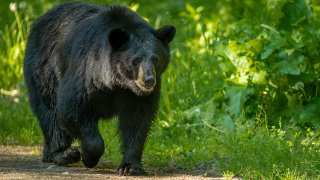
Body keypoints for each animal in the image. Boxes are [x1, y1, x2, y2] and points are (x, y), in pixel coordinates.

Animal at [23, 2, 175, 175]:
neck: (117, 83)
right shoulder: (86, 71)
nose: (149, 80)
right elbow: (73, 106)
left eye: (156, 59)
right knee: (50, 113)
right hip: (44, 70)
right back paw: (63, 154)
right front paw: (89, 157)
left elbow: (137, 120)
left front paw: (130, 166)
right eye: (136, 60)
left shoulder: (136, 96)